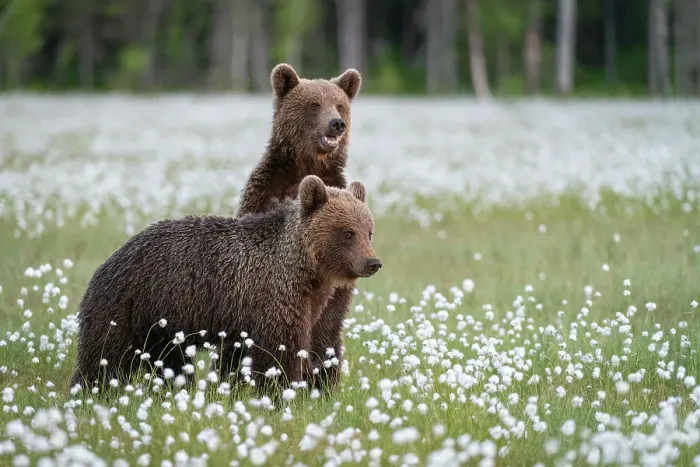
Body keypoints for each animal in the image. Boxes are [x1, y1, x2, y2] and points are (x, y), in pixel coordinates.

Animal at [68, 175, 382, 394]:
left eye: (369, 231)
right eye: (348, 232)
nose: (372, 262)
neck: (304, 269)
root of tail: (107, 261)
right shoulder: (273, 298)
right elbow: (279, 351)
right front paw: (281, 392)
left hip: (161, 326)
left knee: (168, 362)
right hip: (127, 307)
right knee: (105, 357)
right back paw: (88, 393)